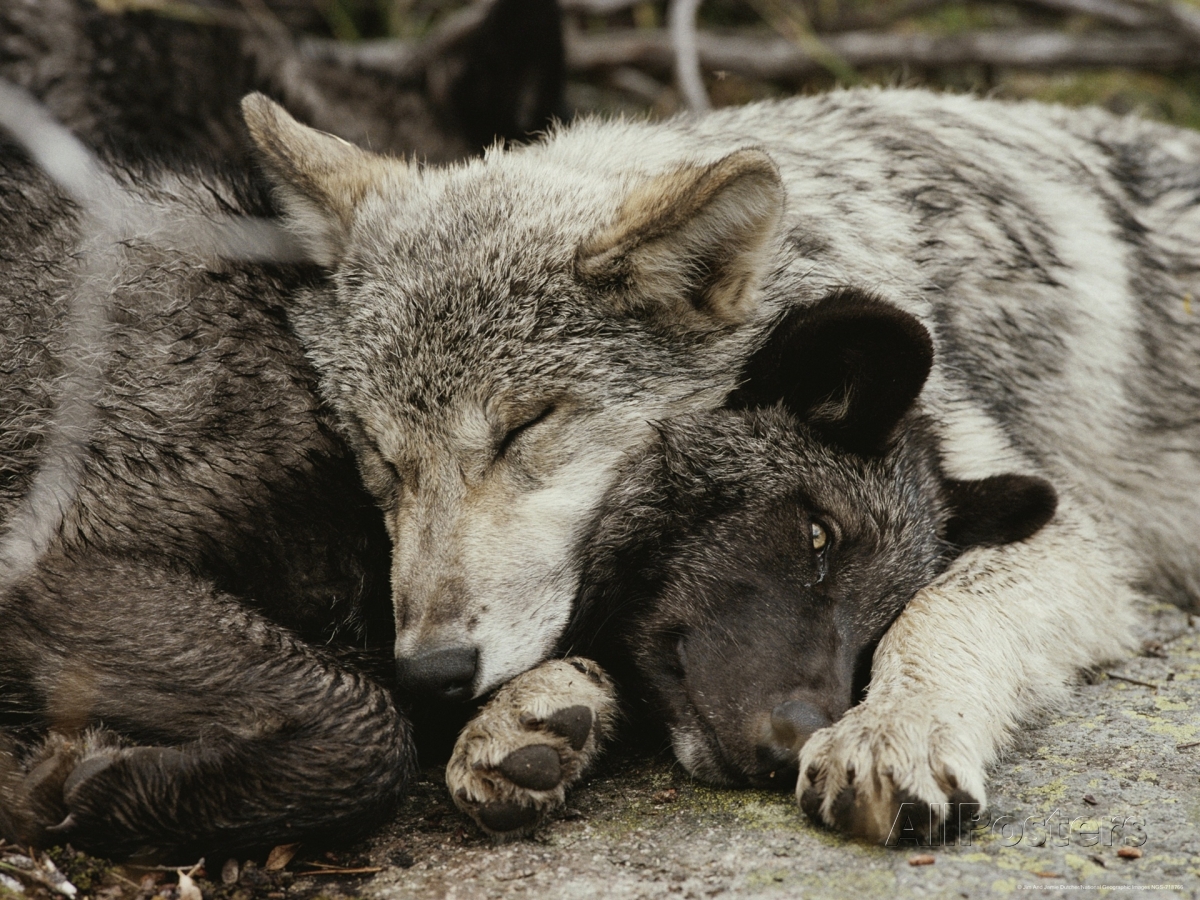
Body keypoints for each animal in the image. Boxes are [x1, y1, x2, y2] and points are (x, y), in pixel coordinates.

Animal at [231, 88, 1200, 842]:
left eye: (522, 428)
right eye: (379, 456)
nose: (430, 673)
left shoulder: (1076, 541)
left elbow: (940, 609)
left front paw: (897, 729)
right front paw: (534, 710)